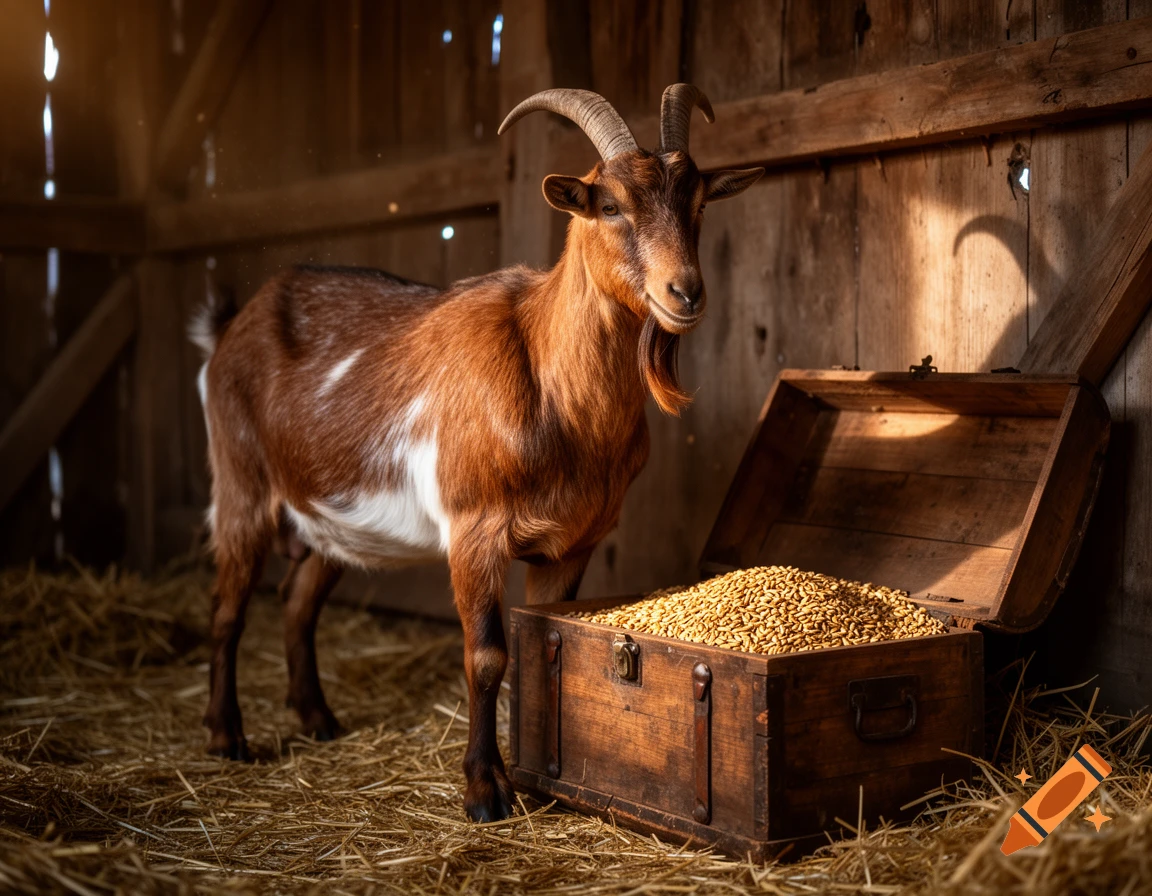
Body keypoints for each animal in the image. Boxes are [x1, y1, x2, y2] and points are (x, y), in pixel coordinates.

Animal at [191, 84, 763, 822]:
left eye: (698, 204)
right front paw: (485, 790)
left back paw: (318, 719)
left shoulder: (570, 544)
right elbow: (487, 656)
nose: (684, 292)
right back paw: (225, 735)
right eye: (609, 205)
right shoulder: (474, 530)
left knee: (297, 600)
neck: (553, 385)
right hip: (242, 483)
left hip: (331, 515)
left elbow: (542, 640)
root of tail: (230, 328)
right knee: (227, 607)